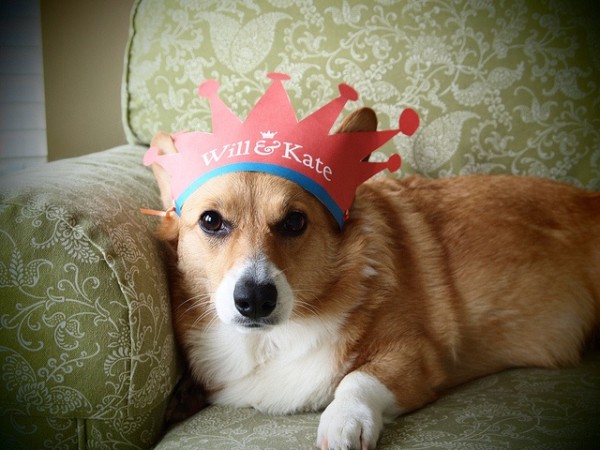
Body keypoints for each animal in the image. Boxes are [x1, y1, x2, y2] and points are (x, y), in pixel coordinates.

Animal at [149, 107, 600, 448]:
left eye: (295, 222)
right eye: (211, 221)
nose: (256, 299)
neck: (269, 342)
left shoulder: (414, 354)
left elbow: (357, 378)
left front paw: (343, 422)